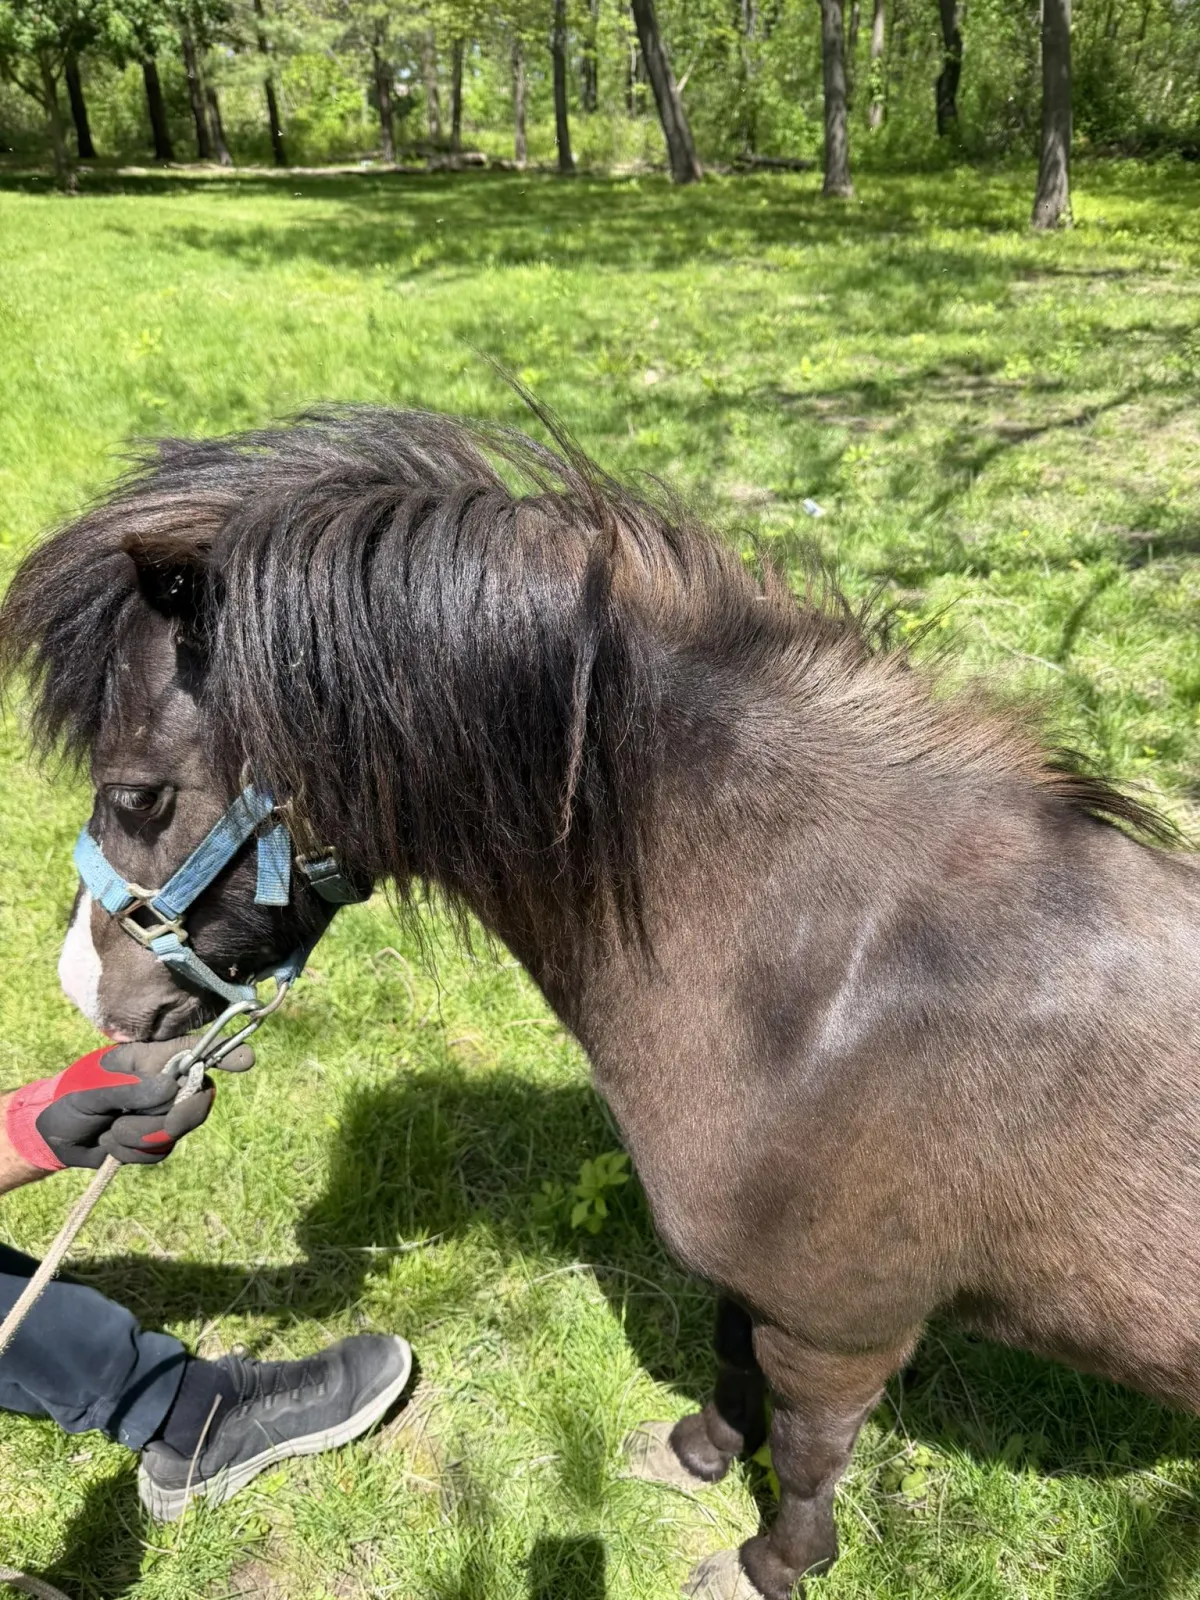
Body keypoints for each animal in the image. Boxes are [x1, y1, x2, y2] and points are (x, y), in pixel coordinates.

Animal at [4, 408, 1200, 1600]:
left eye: (137, 794)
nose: (83, 987)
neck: (831, 979)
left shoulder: (838, 1326)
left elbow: (812, 1446)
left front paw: (775, 1561)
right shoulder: (756, 1286)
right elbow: (730, 1360)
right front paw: (699, 1455)